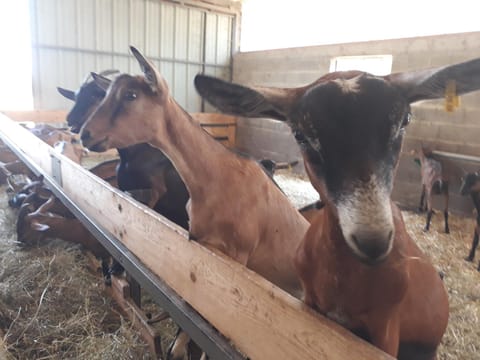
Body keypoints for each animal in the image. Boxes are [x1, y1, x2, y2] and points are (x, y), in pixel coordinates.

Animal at [193, 57, 480, 358]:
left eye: (404, 122)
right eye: (301, 134)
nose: (373, 240)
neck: (344, 278)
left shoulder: (387, 327)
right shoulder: (309, 302)